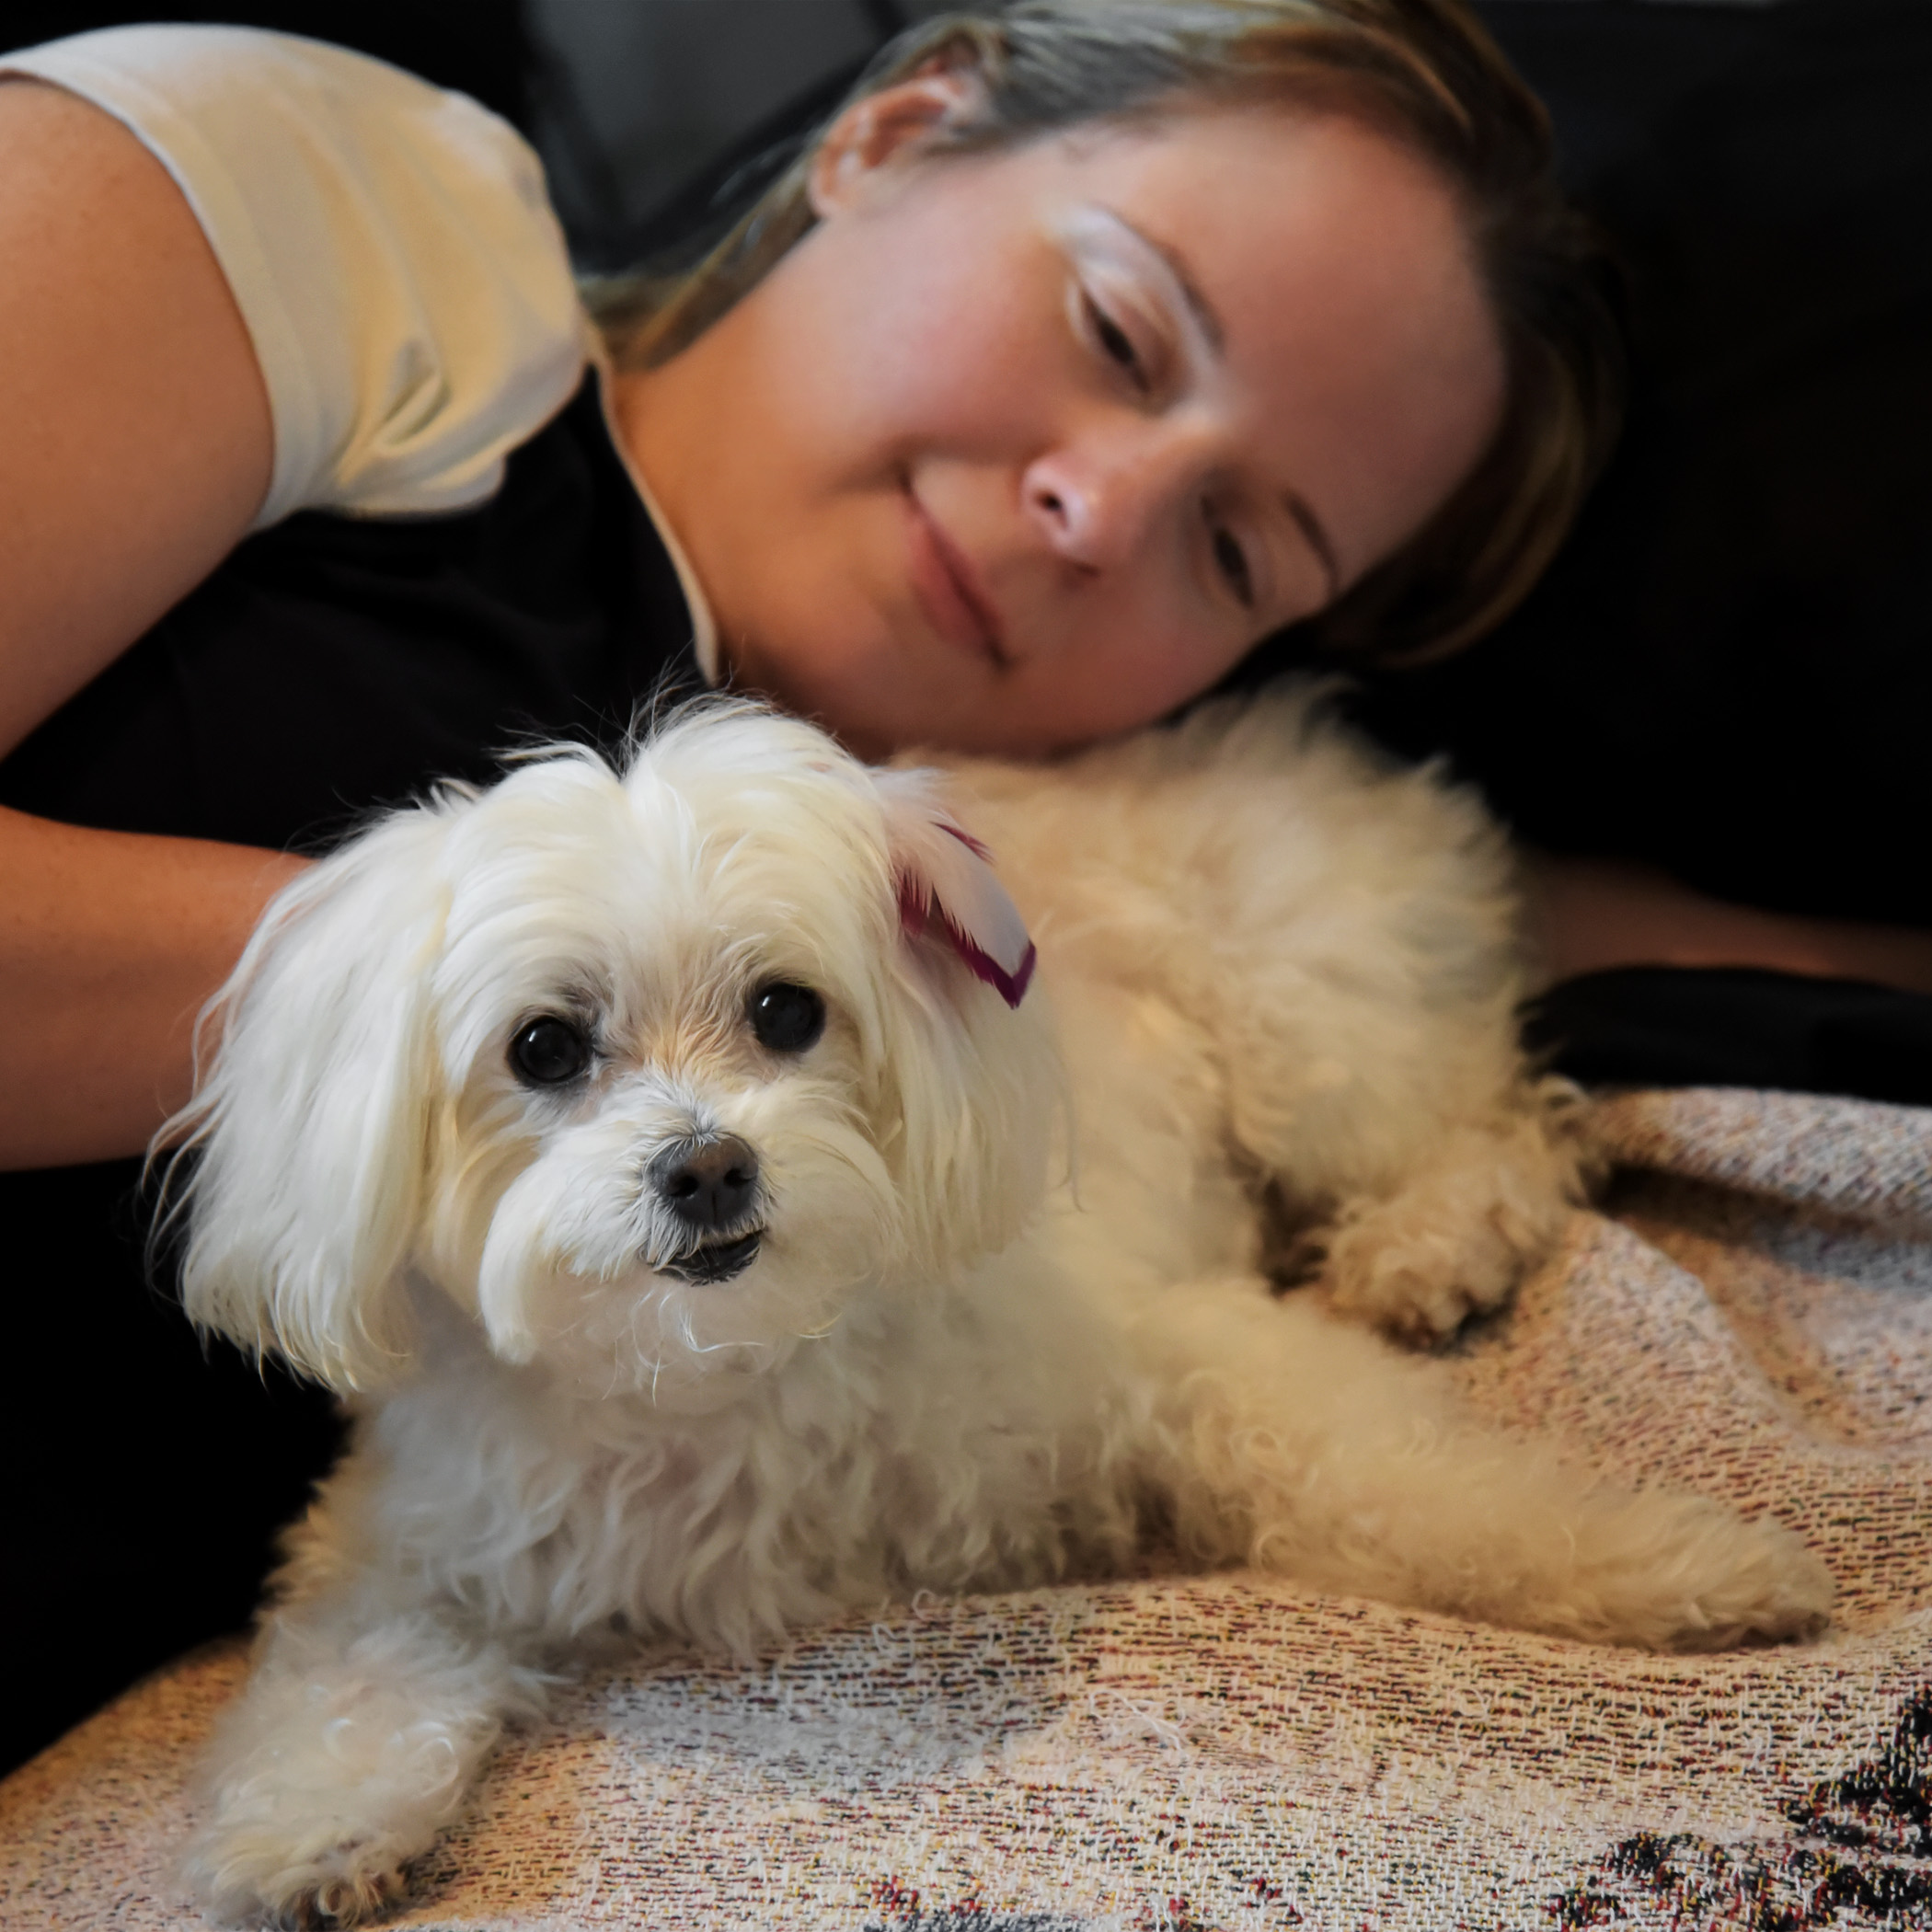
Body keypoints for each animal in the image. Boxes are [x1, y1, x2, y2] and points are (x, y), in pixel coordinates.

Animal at [166, 691, 1823, 1916]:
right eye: (544, 1048)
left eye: (786, 1010)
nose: (708, 1168)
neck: (723, 1377)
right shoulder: (411, 1534)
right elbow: (354, 1664)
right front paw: (309, 1830)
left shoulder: (1180, 1355)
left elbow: (1423, 1485)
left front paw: (1682, 1562)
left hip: (1321, 1033)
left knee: (1508, 1125)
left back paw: (1426, 1251)